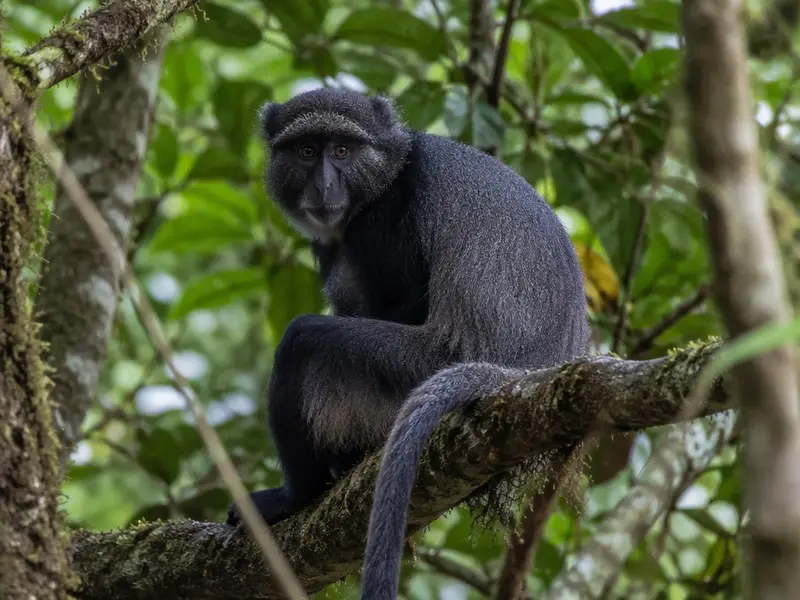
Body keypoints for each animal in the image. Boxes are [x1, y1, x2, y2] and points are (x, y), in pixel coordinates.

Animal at [225, 87, 589, 600]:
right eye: (307, 151)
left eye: (342, 150)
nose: (324, 186)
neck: (387, 173)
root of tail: (519, 374)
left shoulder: (386, 222)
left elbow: (405, 300)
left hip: (412, 368)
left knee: (303, 340)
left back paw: (296, 497)